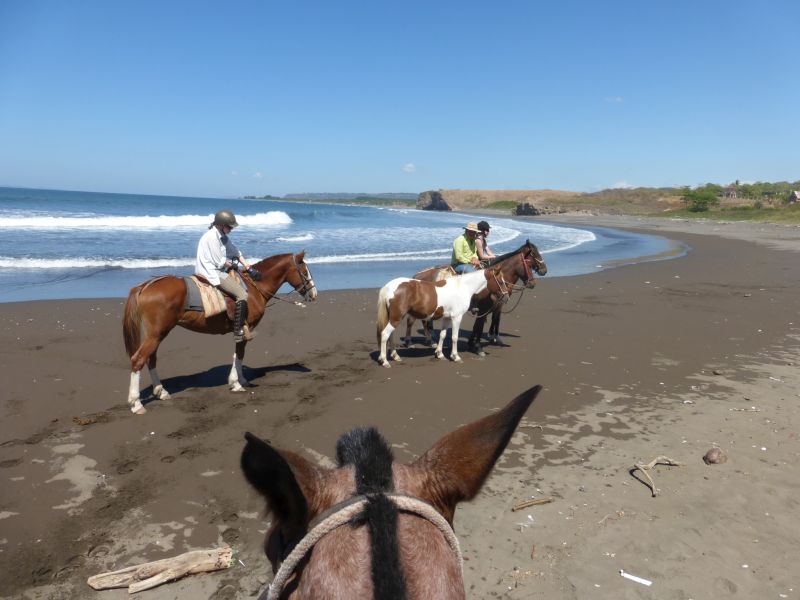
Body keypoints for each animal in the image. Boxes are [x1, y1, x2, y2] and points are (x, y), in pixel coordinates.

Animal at [122, 251, 316, 414]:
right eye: (304, 272)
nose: (314, 294)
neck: (254, 287)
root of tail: (144, 286)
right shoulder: (245, 328)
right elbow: (239, 354)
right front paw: (237, 383)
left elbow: (238, 354)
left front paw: (240, 379)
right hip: (157, 334)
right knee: (138, 360)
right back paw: (136, 403)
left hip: (157, 334)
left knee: (151, 359)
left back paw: (161, 391)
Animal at [374, 266, 506, 368]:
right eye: (500, 280)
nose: (505, 296)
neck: (462, 287)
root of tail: (388, 287)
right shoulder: (457, 317)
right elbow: (454, 337)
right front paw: (455, 356)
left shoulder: (447, 317)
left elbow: (443, 335)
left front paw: (439, 354)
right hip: (396, 318)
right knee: (385, 334)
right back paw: (384, 360)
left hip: (393, 318)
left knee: (390, 335)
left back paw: (395, 356)